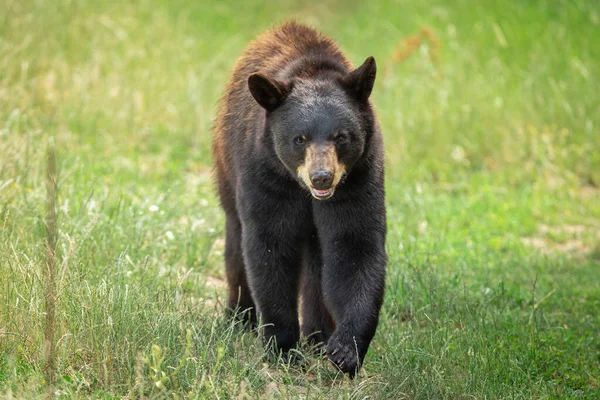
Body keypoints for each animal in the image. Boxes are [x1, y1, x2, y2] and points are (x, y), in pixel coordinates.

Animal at [213, 21, 386, 376]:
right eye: (299, 138)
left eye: (341, 136)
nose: (322, 177)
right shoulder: (266, 174)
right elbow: (270, 245)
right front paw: (282, 347)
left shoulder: (360, 177)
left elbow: (356, 246)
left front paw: (345, 349)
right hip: (226, 171)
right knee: (236, 243)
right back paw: (240, 317)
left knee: (319, 264)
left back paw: (318, 336)